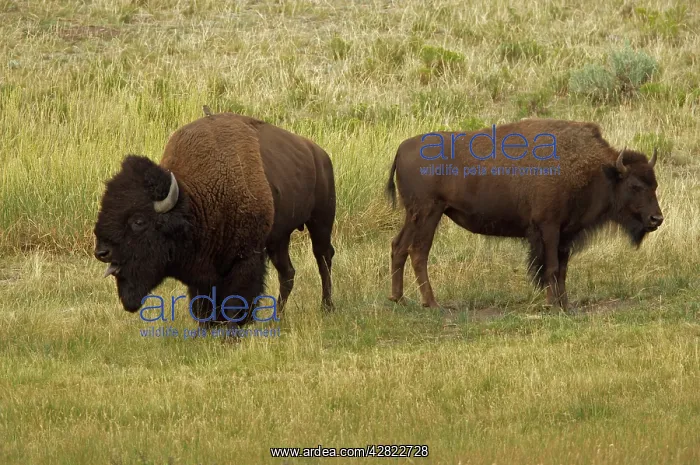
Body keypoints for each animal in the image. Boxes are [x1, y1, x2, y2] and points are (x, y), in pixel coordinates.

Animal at [94, 111, 336, 328]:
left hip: (321, 223)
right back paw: (278, 317)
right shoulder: (203, 270)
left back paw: (327, 307)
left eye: (138, 221)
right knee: (287, 273)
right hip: (279, 238)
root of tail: (320, 154)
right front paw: (208, 326)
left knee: (323, 259)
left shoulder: (246, 258)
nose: (102, 252)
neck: (193, 200)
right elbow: (203, 301)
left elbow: (238, 297)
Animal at [385, 118, 663, 310]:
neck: (599, 170)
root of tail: (401, 149)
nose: (656, 219)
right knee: (418, 252)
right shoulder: (548, 228)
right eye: (634, 186)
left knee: (399, 247)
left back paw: (398, 299)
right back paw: (432, 303)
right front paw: (552, 305)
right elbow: (551, 267)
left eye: (655, 184)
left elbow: (563, 269)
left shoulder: (566, 233)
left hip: (413, 215)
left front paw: (565, 304)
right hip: (429, 213)